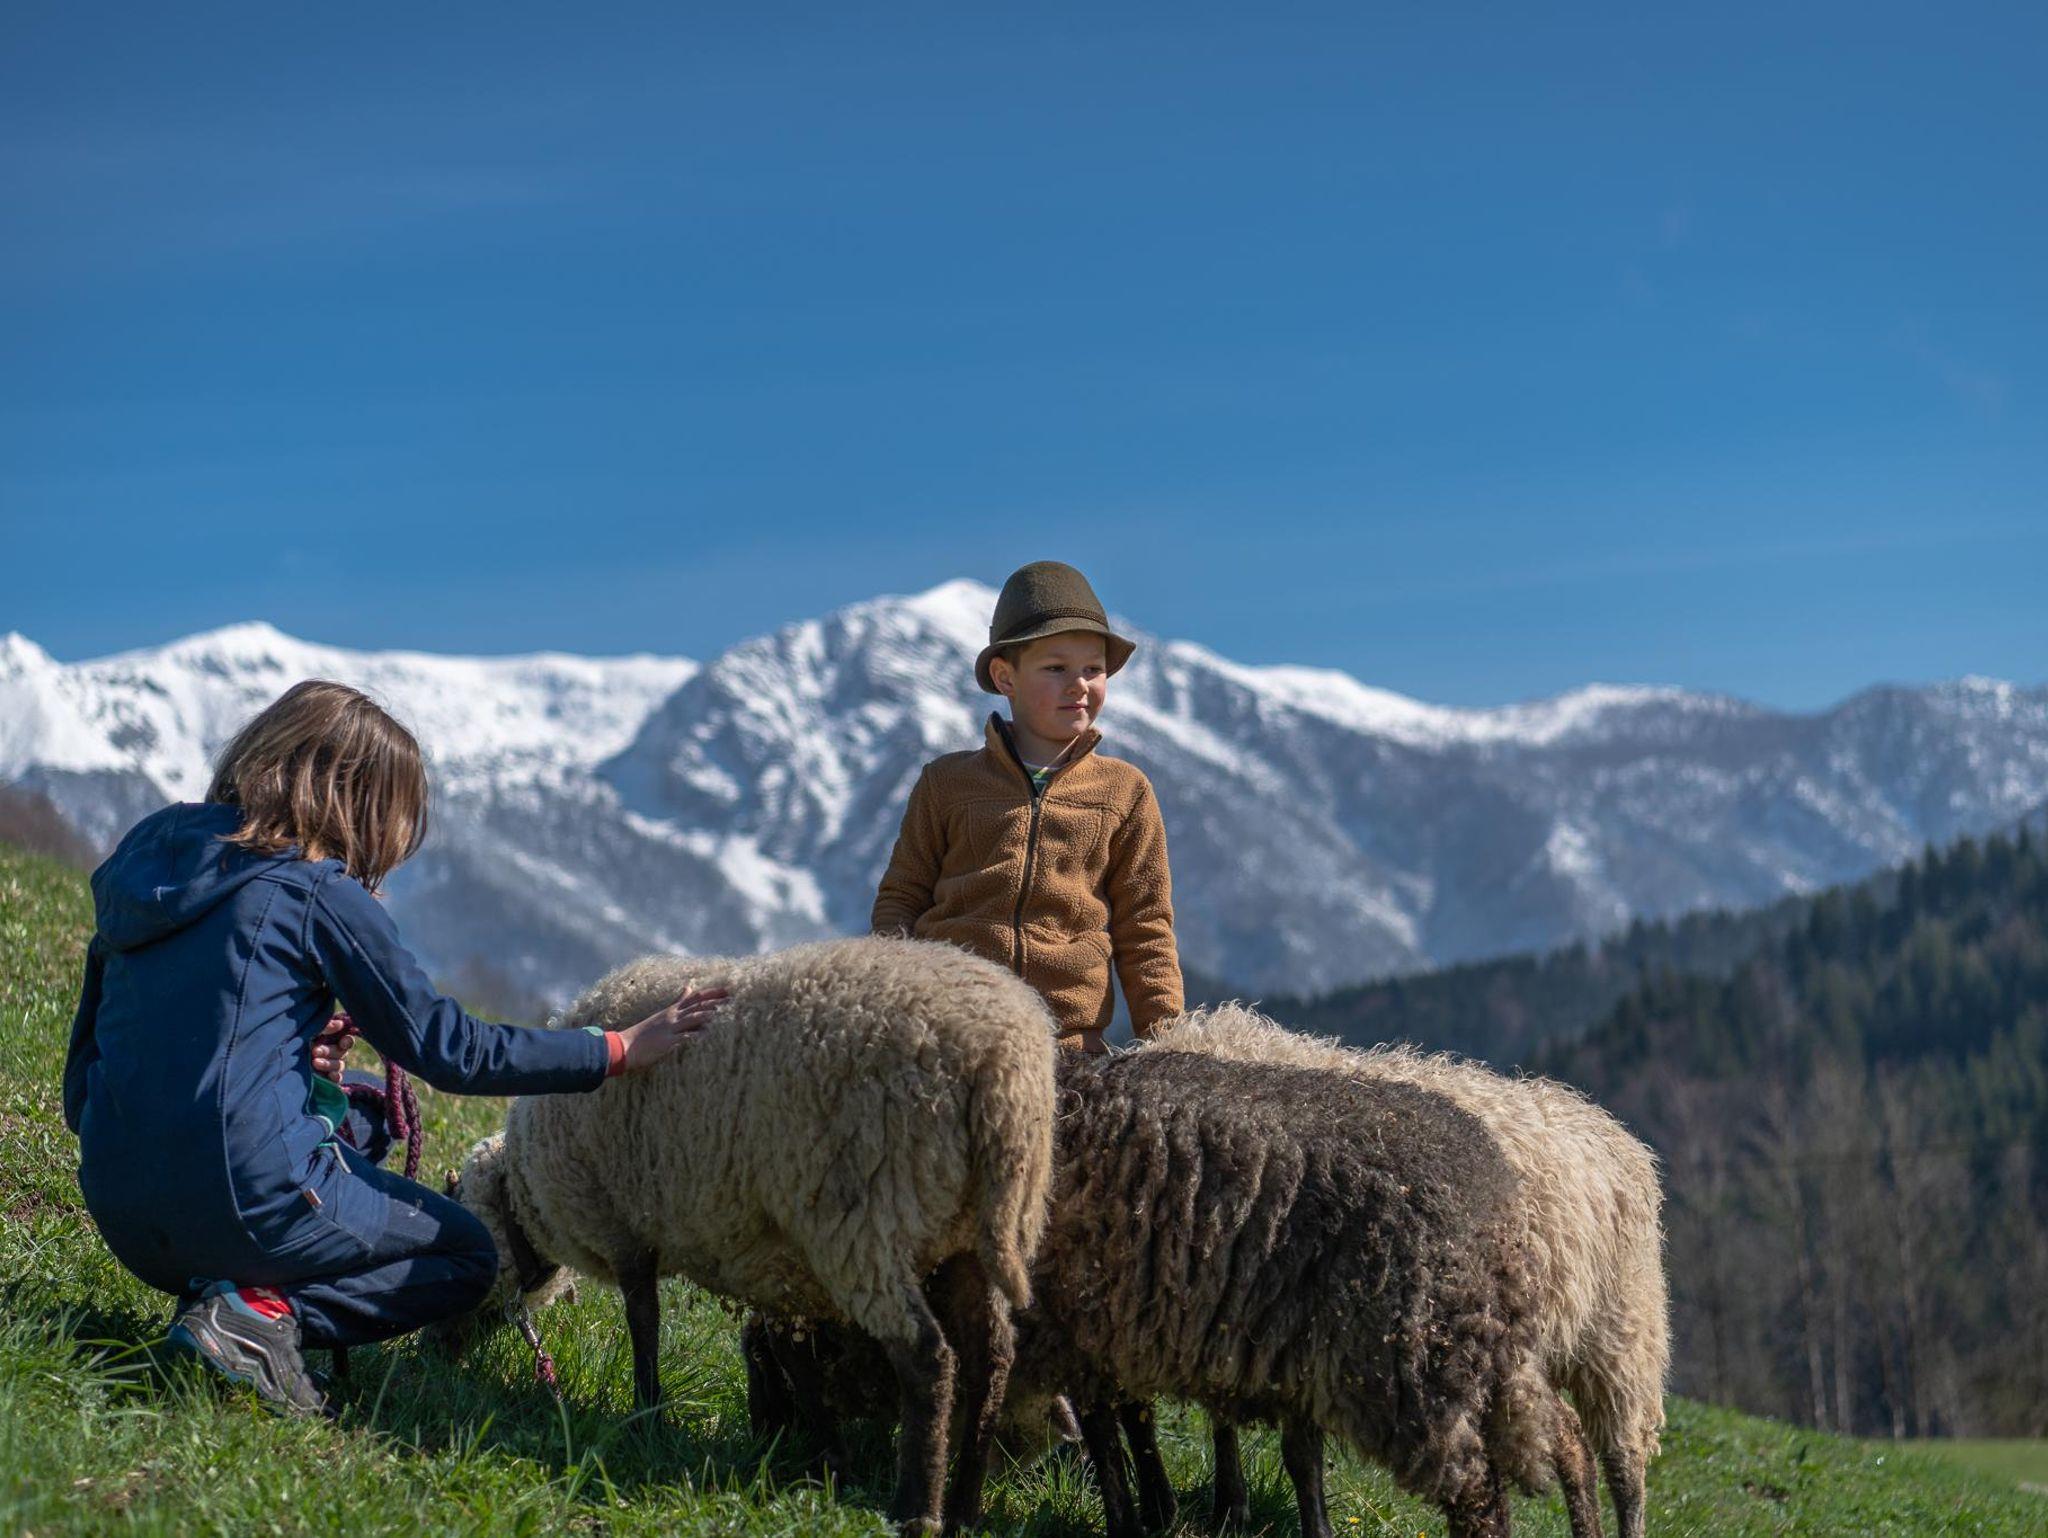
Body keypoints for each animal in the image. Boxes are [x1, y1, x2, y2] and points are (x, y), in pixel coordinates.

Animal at [448, 935, 1057, 1536]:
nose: (440, 1352)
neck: (527, 1195)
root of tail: (1000, 1065)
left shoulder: (626, 1227)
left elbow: (644, 1323)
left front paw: (648, 1414)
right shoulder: (776, 1264)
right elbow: (793, 1359)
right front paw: (830, 1459)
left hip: (866, 1223)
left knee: (926, 1356)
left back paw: (917, 1510)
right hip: (966, 1237)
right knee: (992, 1359)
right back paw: (964, 1508)